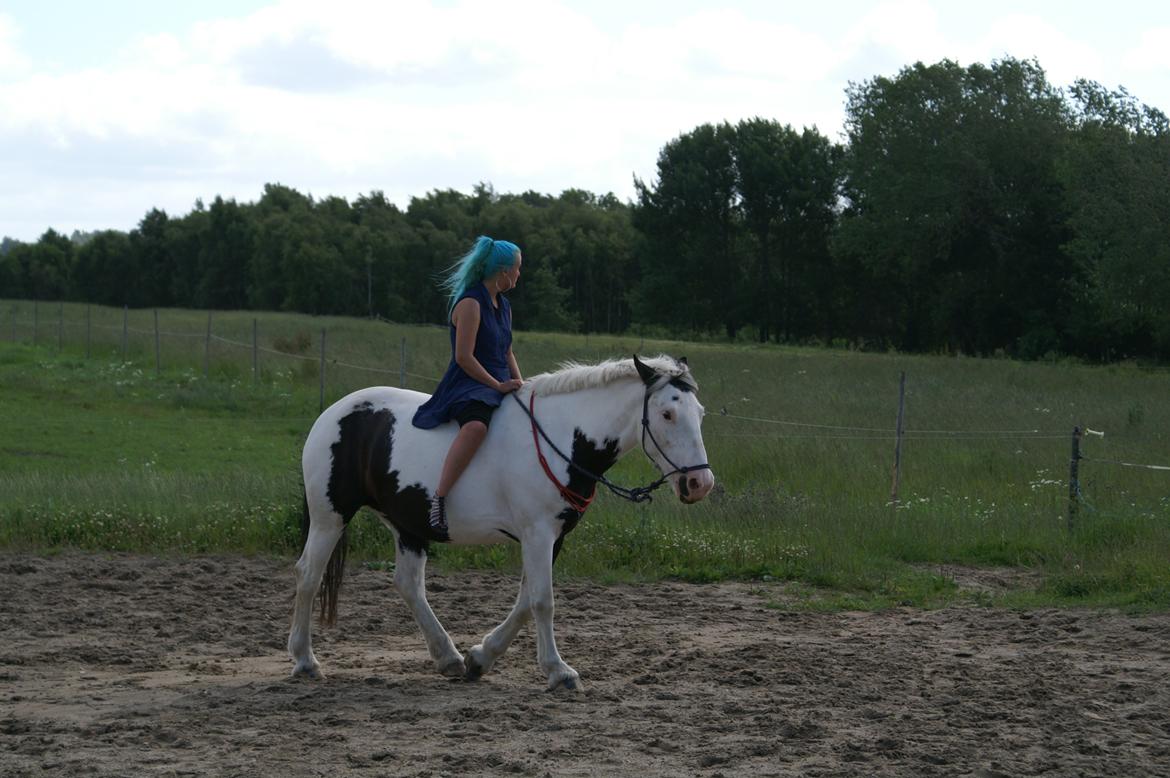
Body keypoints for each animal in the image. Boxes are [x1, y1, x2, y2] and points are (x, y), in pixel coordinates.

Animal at [287, 350, 716, 687]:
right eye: (666, 413)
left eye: (699, 412)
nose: (700, 483)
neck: (563, 437)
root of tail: (332, 414)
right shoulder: (537, 533)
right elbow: (543, 601)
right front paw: (558, 670)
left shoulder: (552, 537)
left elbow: (526, 601)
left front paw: (481, 657)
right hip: (330, 518)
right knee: (308, 575)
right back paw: (305, 660)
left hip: (407, 527)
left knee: (408, 585)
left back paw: (448, 656)